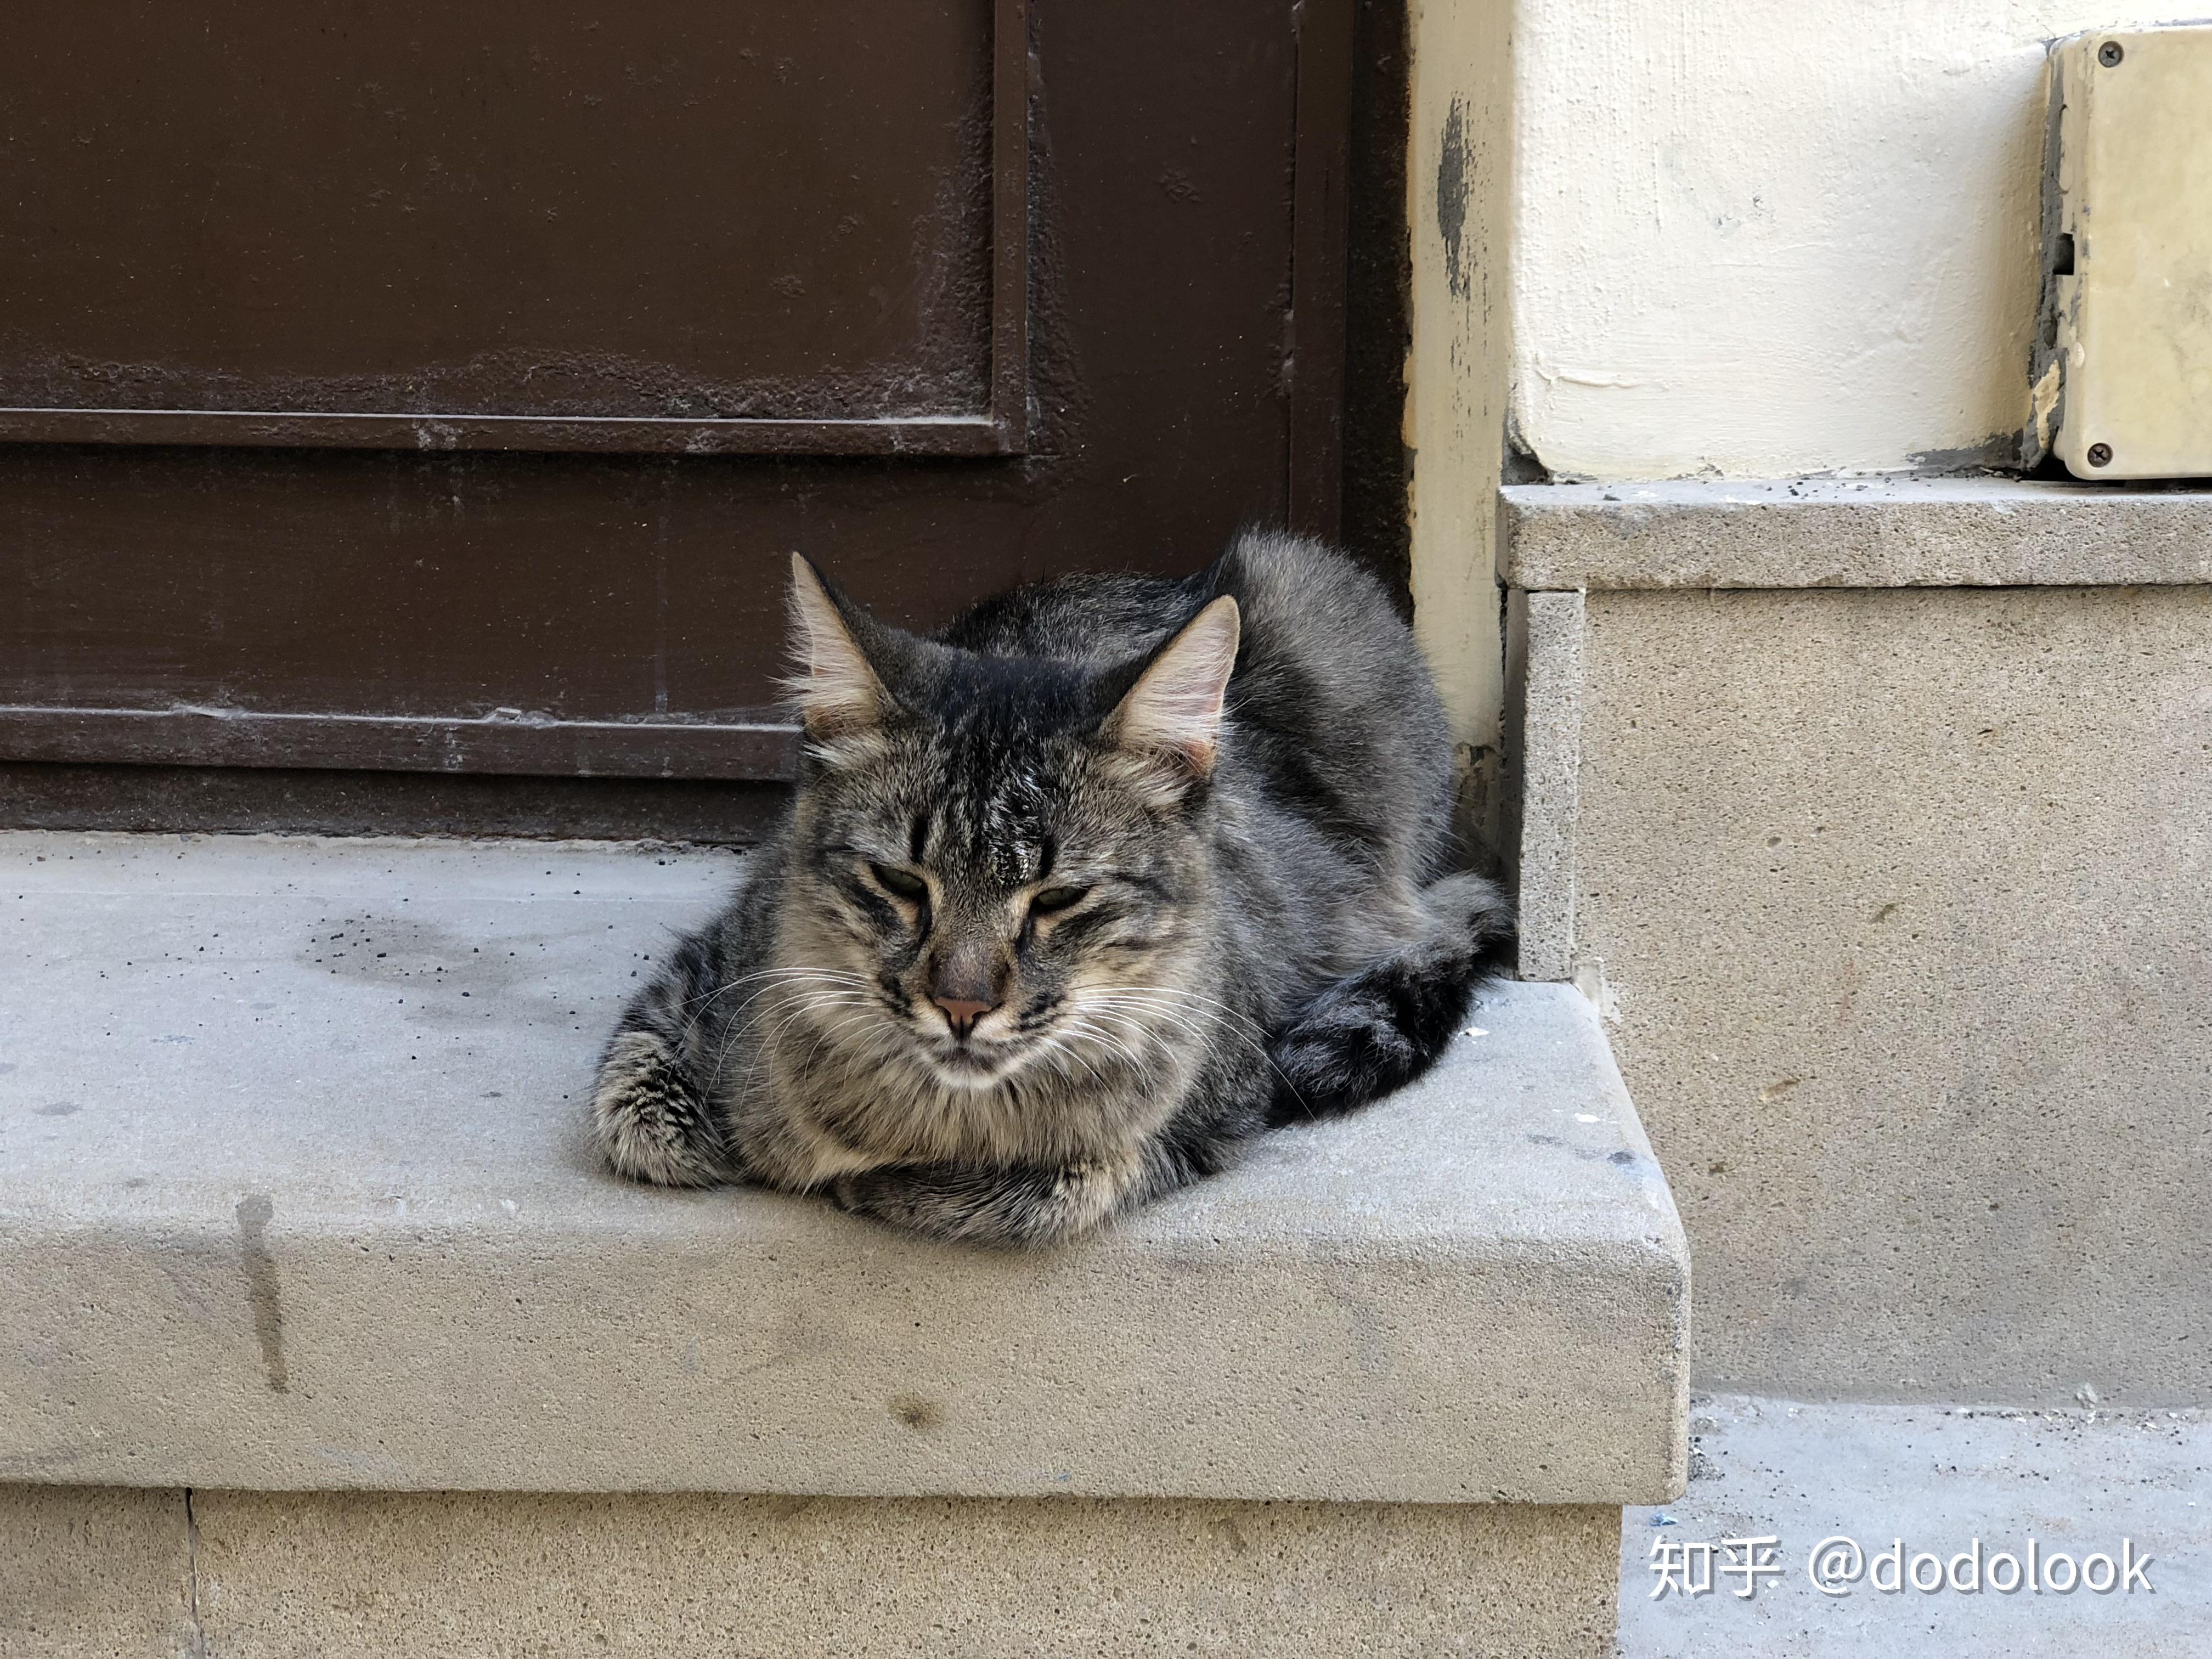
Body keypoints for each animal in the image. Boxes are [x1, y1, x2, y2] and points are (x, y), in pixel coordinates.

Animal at [588, 533, 1513, 1248]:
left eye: (1058, 899)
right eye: (900, 882)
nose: (961, 1006)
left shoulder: (1219, 1102)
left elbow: (1051, 1190)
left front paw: (878, 1186)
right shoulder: (709, 965)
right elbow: (638, 1116)